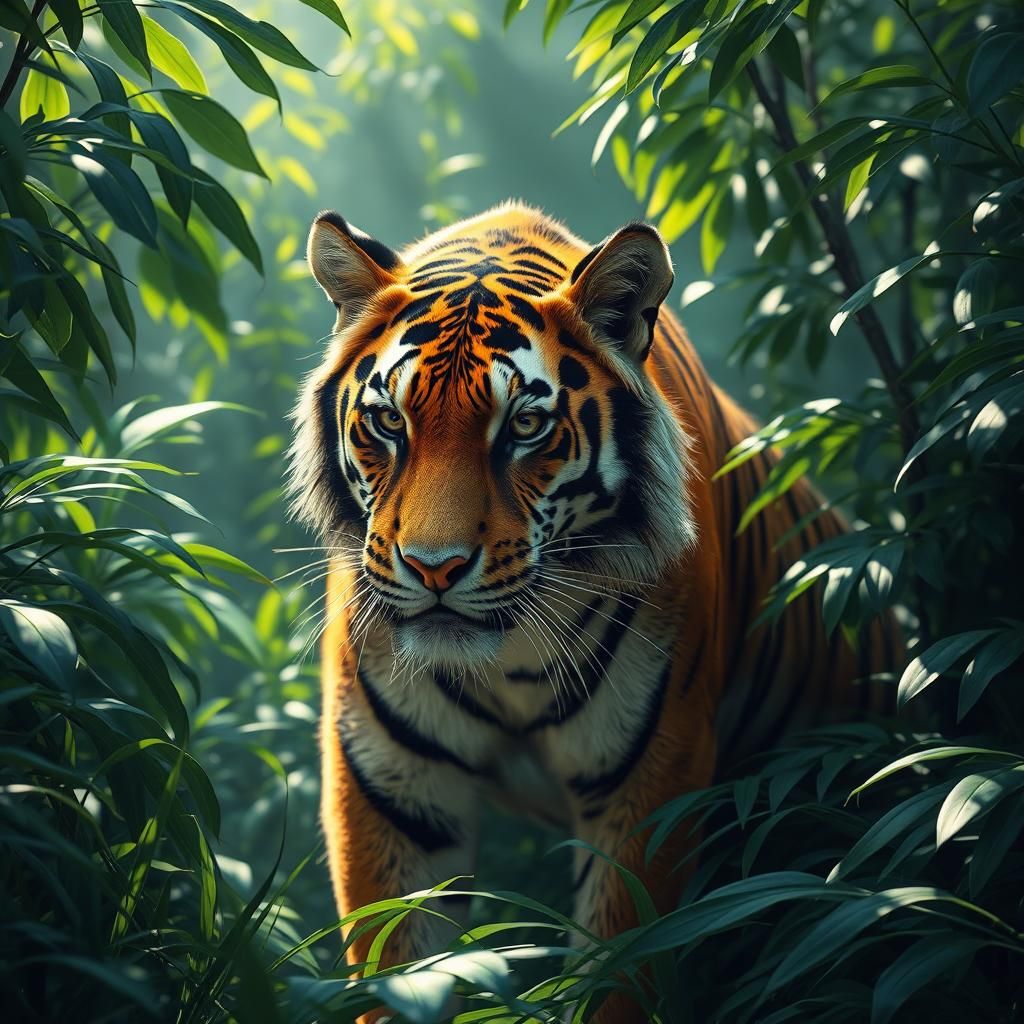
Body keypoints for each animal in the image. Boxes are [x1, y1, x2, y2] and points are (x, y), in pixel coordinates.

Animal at [288, 201, 900, 1022]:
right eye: (389, 422)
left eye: (523, 427)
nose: (433, 567)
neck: (507, 658)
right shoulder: (394, 791)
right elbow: (400, 970)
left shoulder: (648, 784)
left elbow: (618, 974)